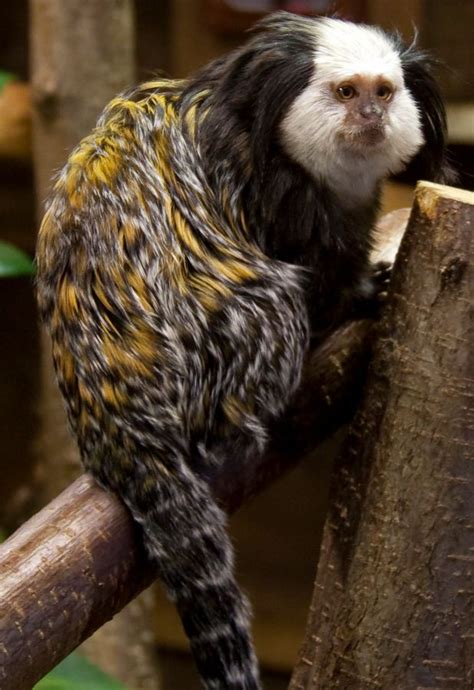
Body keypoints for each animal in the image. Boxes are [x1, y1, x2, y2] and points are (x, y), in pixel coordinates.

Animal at [36, 12, 453, 690]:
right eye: (346, 92)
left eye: (384, 92)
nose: (370, 116)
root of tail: (112, 416)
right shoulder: (273, 192)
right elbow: (318, 278)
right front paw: (362, 296)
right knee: (275, 302)